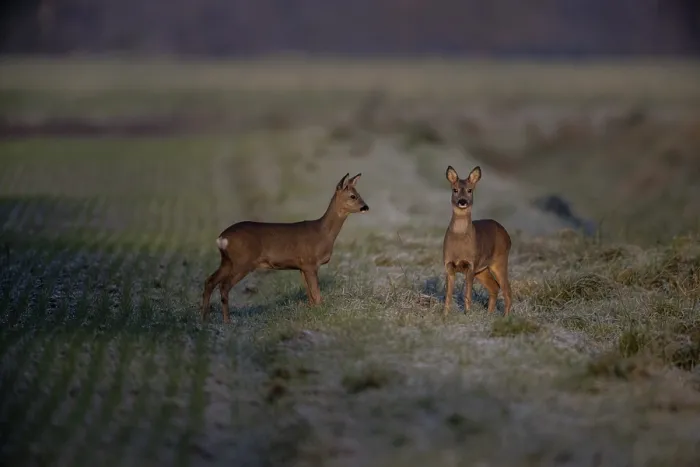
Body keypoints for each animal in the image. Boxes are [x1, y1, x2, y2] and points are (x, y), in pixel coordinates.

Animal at [201, 173, 369, 323]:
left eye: (358, 194)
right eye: (353, 196)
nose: (365, 207)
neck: (323, 233)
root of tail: (222, 238)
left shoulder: (302, 266)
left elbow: (310, 295)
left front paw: (312, 311)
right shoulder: (310, 263)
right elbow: (316, 294)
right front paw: (322, 312)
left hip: (227, 261)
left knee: (210, 281)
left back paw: (205, 318)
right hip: (242, 262)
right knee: (224, 286)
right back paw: (227, 321)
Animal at [442, 165, 513, 316]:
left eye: (470, 190)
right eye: (455, 189)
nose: (462, 201)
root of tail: (507, 235)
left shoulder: (471, 265)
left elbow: (467, 293)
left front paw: (467, 313)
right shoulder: (449, 264)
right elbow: (448, 294)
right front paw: (445, 313)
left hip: (500, 261)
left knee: (507, 289)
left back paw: (505, 317)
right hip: (482, 269)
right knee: (494, 287)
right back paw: (489, 314)